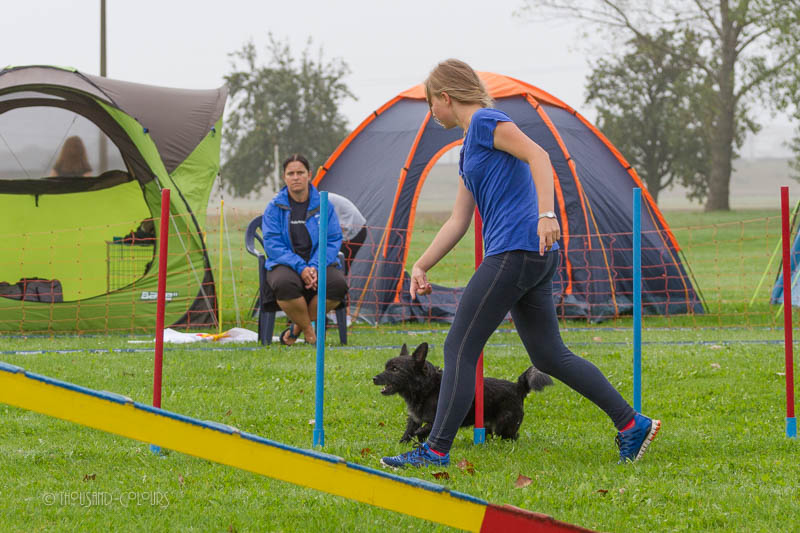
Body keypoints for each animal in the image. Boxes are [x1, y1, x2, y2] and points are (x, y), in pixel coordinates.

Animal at [373, 342, 553, 443]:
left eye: (395, 369)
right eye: (386, 367)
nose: (374, 378)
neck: (427, 388)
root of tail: (518, 387)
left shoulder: (439, 417)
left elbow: (426, 428)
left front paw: (422, 436)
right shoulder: (414, 419)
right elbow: (409, 432)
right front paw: (403, 443)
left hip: (505, 427)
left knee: (513, 436)